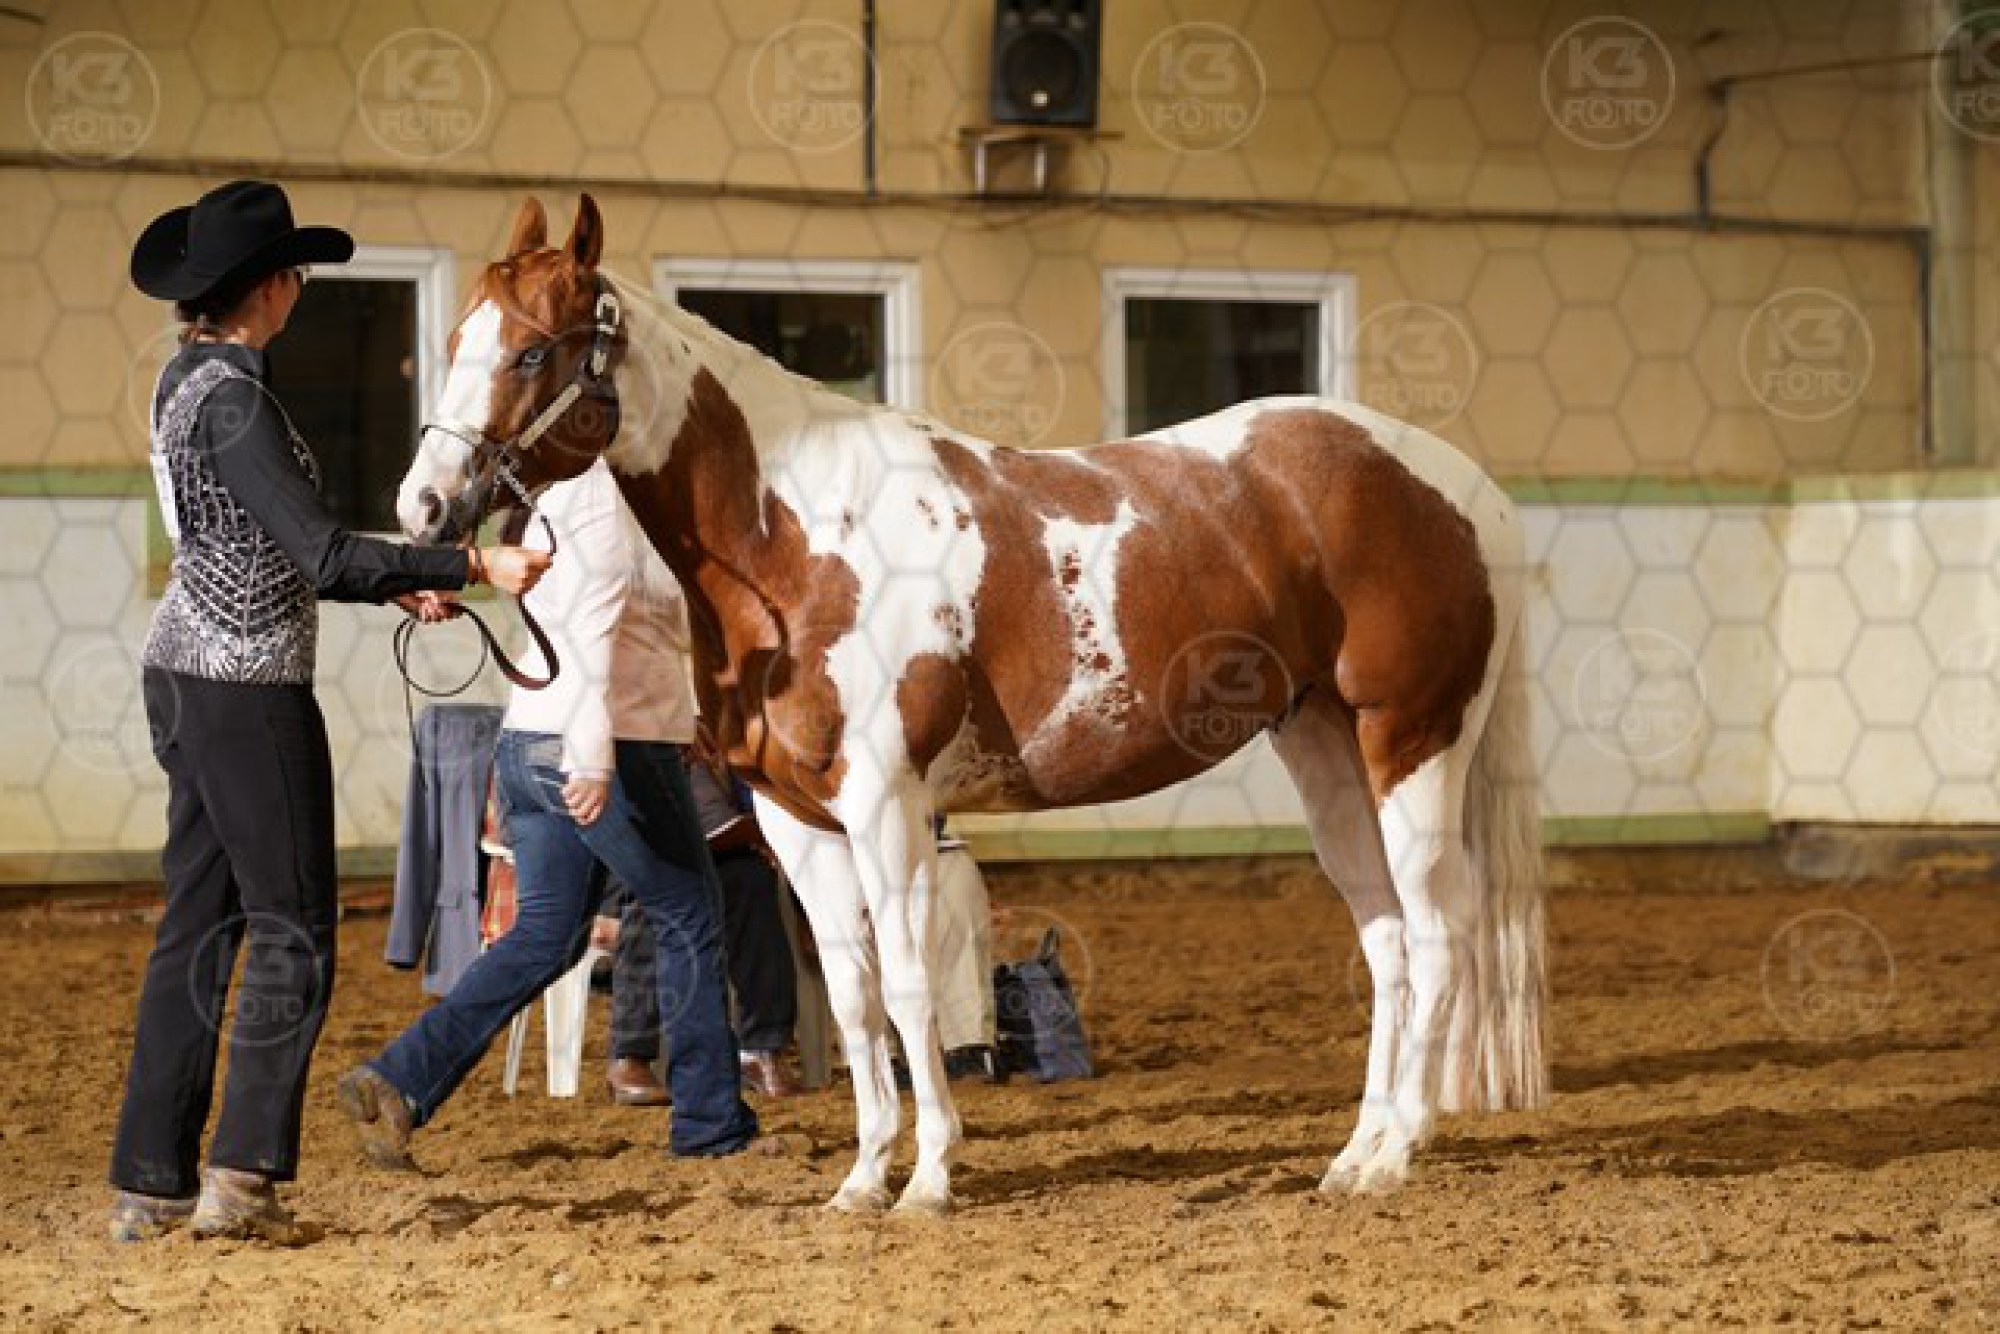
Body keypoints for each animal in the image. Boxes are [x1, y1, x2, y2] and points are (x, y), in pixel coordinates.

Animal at [396, 195, 1547, 1215]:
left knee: (1439, 933)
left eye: (531, 353)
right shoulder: (796, 822)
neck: (795, 535)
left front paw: (930, 1179)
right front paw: (862, 1179)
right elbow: (854, 998)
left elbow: (909, 988)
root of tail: (1466, 489)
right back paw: (1352, 1155)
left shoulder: (886, 808)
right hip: (1325, 751)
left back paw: (1396, 1153)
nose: (423, 505)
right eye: (452, 340)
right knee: (1388, 941)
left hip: (1412, 743)